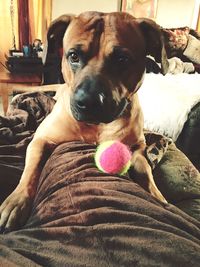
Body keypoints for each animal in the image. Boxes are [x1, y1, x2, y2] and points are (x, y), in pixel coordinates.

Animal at [0, 11, 169, 232]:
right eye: (73, 56)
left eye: (122, 59)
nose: (88, 101)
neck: (95, 127)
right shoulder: (41, 140)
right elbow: (31, 170)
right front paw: (17, 201)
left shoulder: (138, 148)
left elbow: (146, 171)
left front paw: (159, 197)